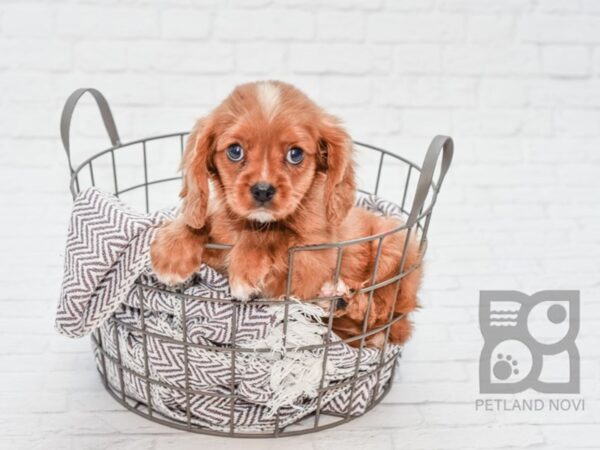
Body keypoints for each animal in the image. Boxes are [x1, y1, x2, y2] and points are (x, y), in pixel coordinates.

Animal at [150, 81, 422, 346]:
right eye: (235, 151)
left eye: (295, 154)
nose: (262, 190)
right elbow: (199, 221)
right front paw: (172, 250)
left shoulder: (310, 262)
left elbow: (276, 233)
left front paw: (247, 263)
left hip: (394, 245)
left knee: (377, 314)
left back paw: (340, 297)